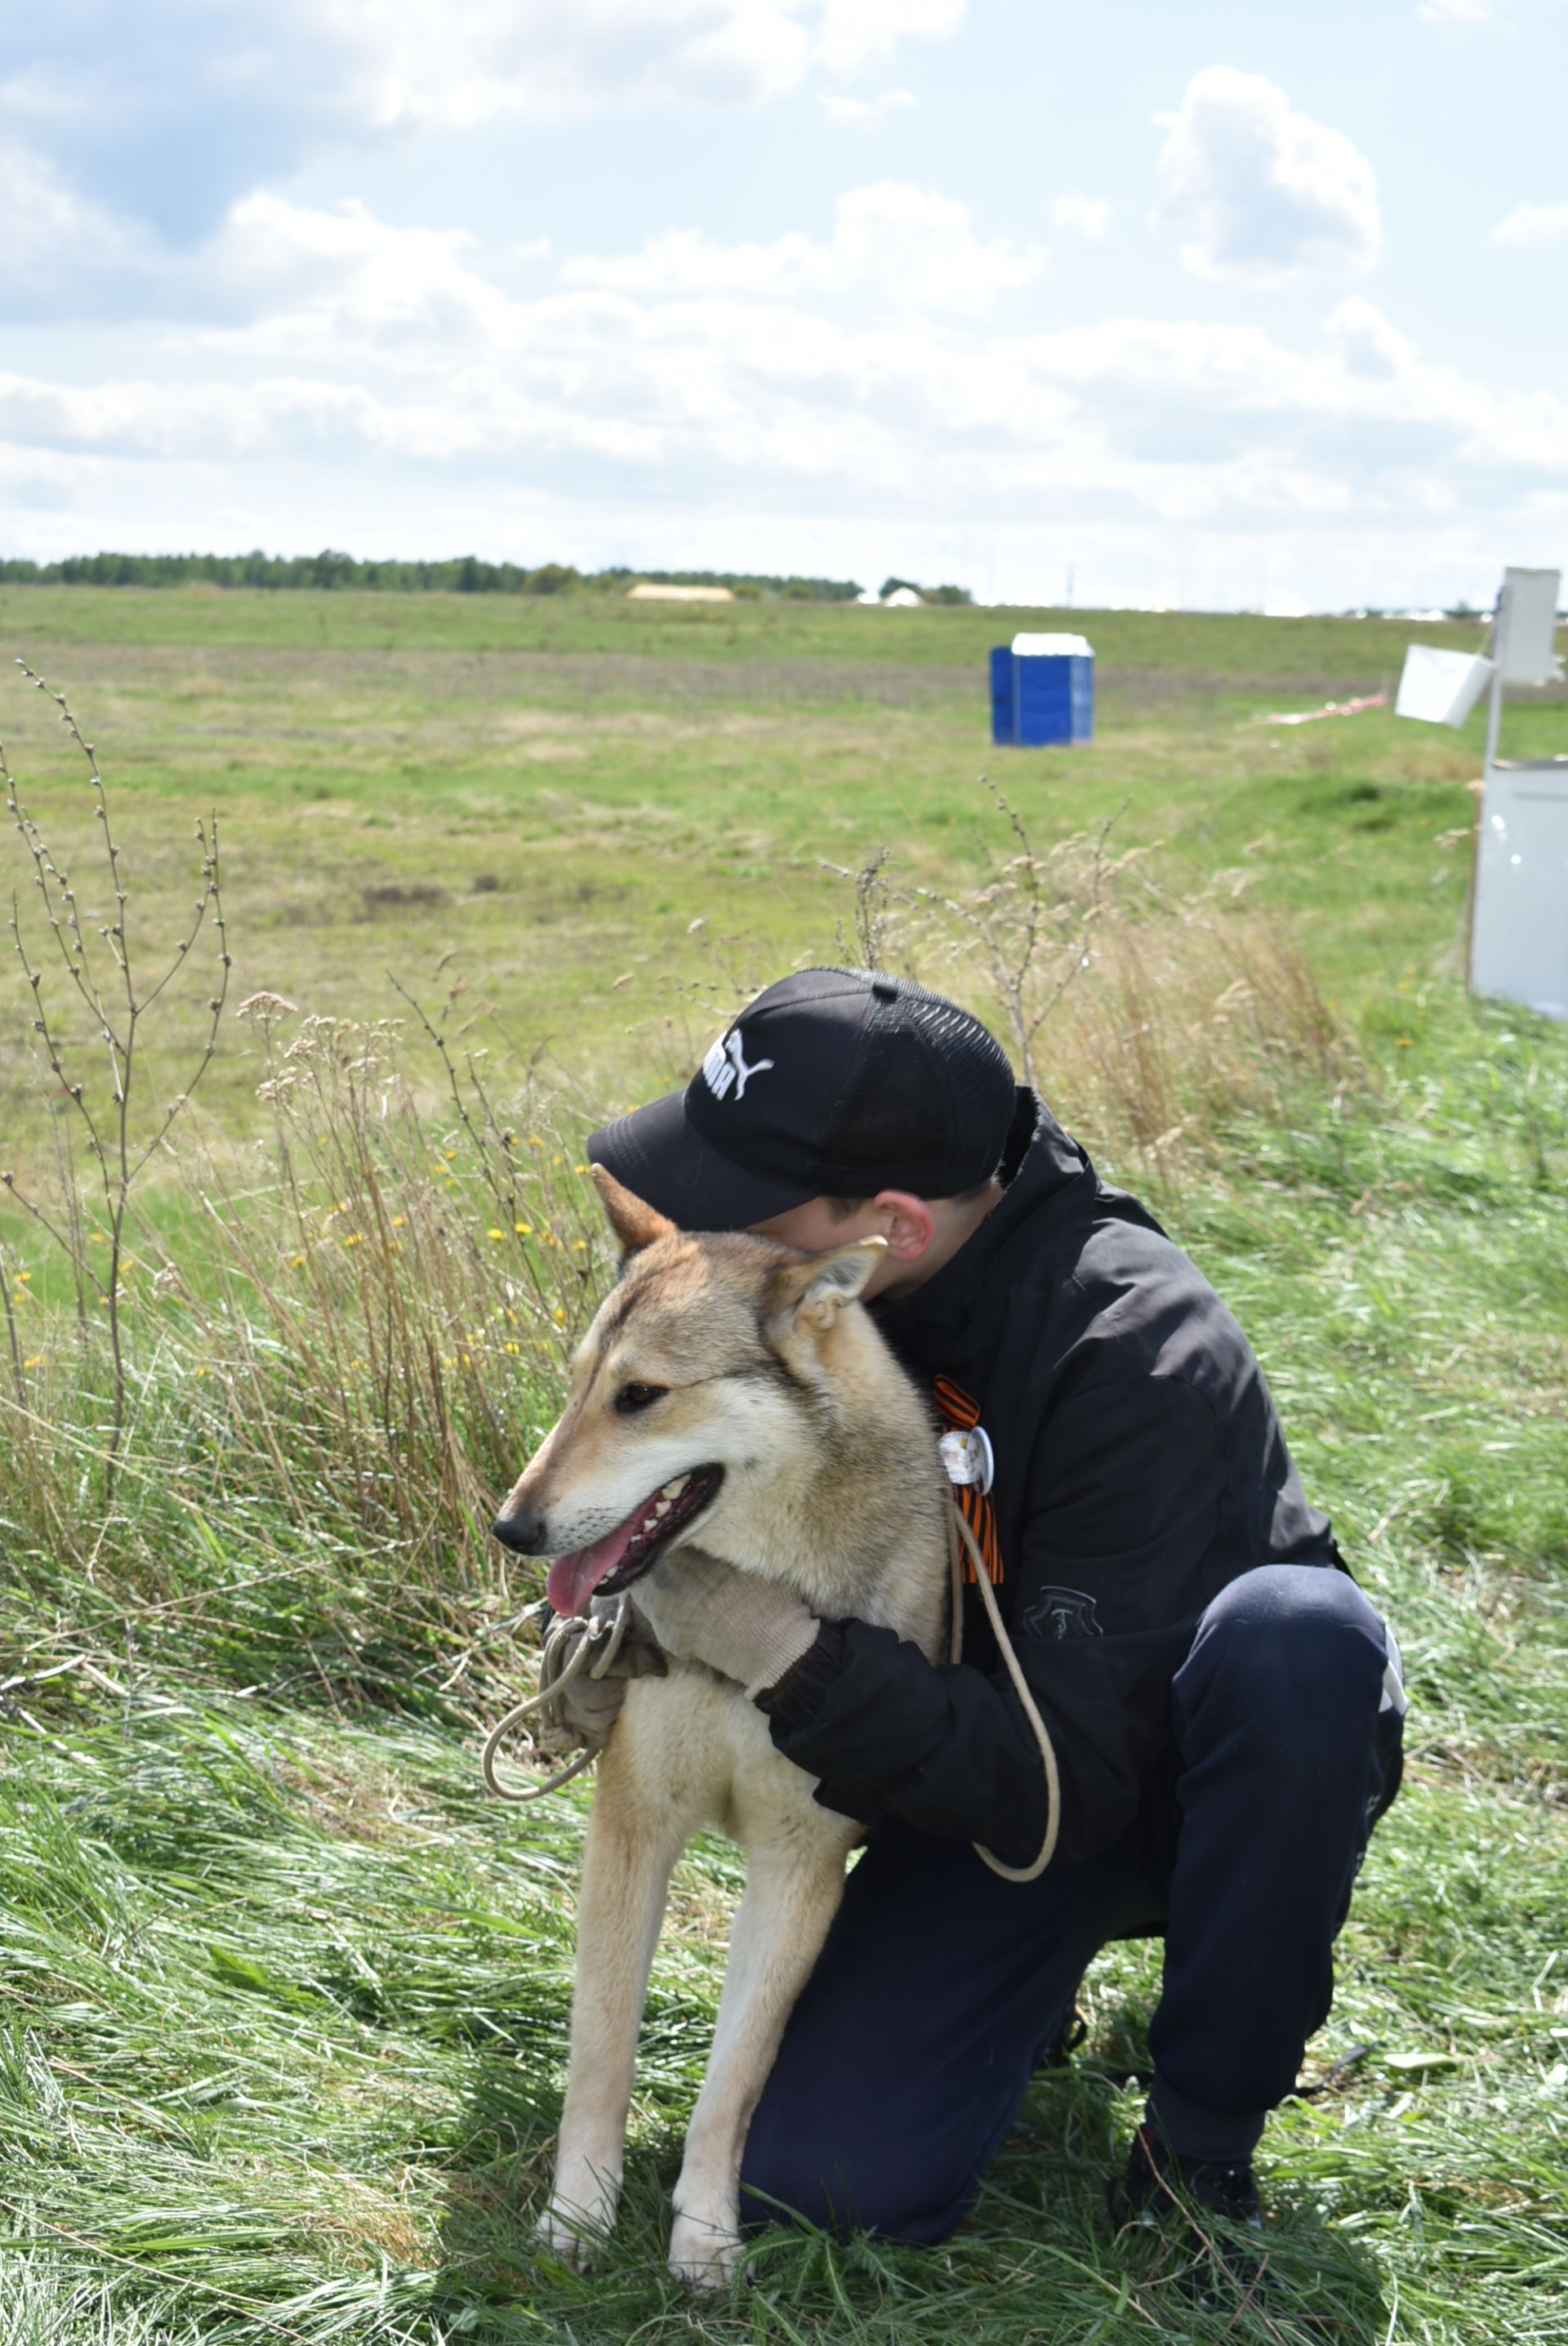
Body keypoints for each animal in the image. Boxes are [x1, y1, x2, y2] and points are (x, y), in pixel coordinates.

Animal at [494, 1173, 947, 2290]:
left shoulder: (799, 1869)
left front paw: (705, 2239)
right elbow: (601, 2052)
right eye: (578, 1384)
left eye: (641, 1396)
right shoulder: (632, 1831)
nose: (510, 1528)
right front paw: (578, 2218)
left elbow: (734, 2084)